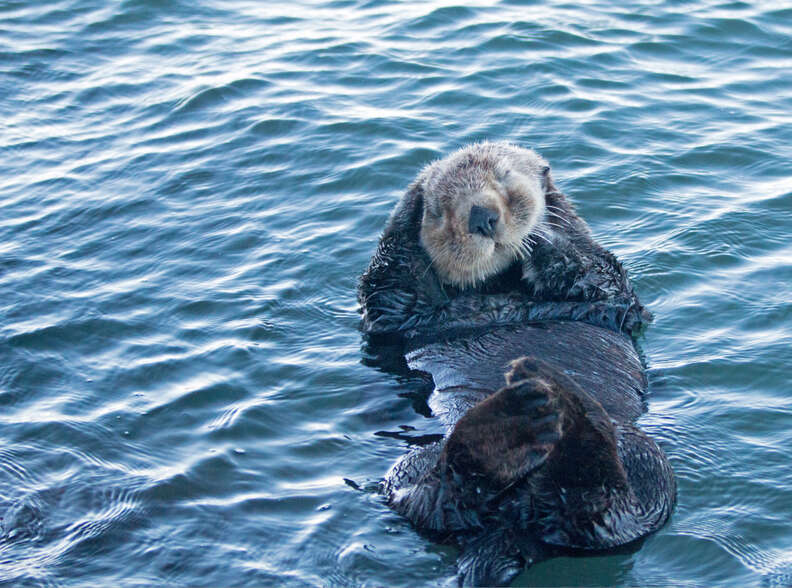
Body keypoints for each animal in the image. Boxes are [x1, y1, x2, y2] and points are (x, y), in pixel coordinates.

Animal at [358, 144, 676, 588]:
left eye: (504, 177)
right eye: (441, 210)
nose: (481, 216)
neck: (501, 285)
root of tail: (512, 525)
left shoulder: (614, 296)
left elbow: (600, 276)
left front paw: (544, 235)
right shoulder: (395, 317)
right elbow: (387, 288)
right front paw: (411, 202)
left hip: (646, 467)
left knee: (603, 513)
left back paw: (558, 409)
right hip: (408, 470)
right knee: (442, 495)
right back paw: (519, 421)